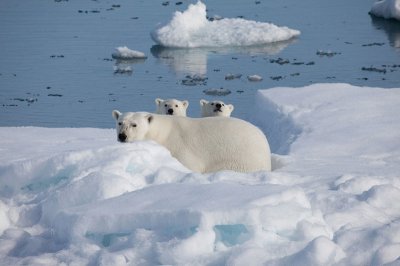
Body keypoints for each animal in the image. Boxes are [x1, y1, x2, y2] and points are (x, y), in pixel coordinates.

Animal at [112, 109, 272, 172]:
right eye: (120, 123)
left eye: (134, 125)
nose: (122, 136)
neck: (163, 132)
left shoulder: (180, 146)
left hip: (241, 160)